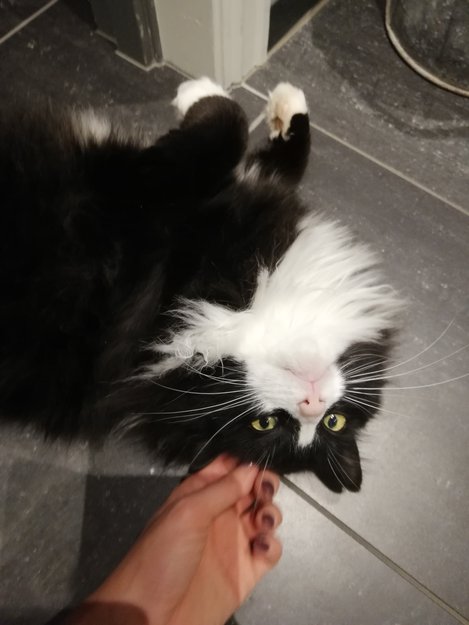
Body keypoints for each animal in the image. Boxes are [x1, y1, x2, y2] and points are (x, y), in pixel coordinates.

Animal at [0, 77, 401, 492]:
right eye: (335, 420)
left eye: (264, 423)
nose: (313, 404)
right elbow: (262, 150)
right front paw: (281, 104)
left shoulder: (145, 197)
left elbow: (225, 126)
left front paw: (196, 91)